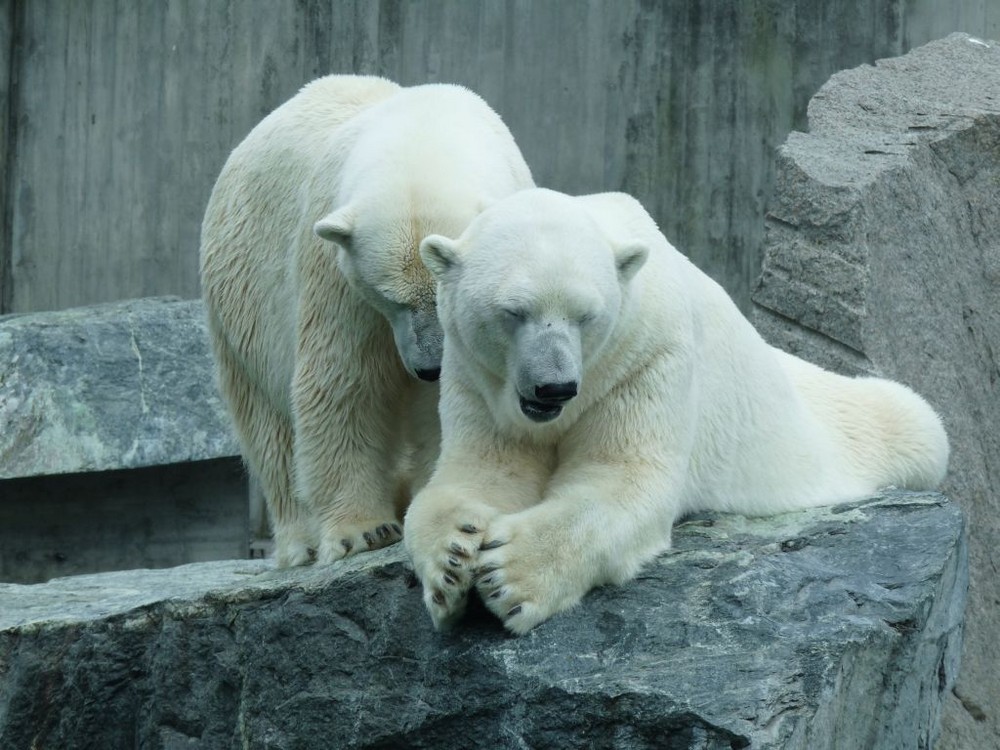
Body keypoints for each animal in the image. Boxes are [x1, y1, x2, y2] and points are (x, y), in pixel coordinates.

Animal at [198, 76, 536, 568]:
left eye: (446, 295)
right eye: (391, 297)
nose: (429, 368)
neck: (425, 128)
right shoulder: (336, 273)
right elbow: (343, 381)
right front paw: (364, 531)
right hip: (240, 306)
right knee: (268, 425)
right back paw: (301, 542)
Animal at [402, 187, 948, 636]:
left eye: (587, 316)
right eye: (513, 312)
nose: (555, 387)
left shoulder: (647, 357)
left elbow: (622, 479)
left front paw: (510, 575)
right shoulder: (475, 376)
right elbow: (482, 473)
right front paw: (451, 560)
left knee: (912, 421)